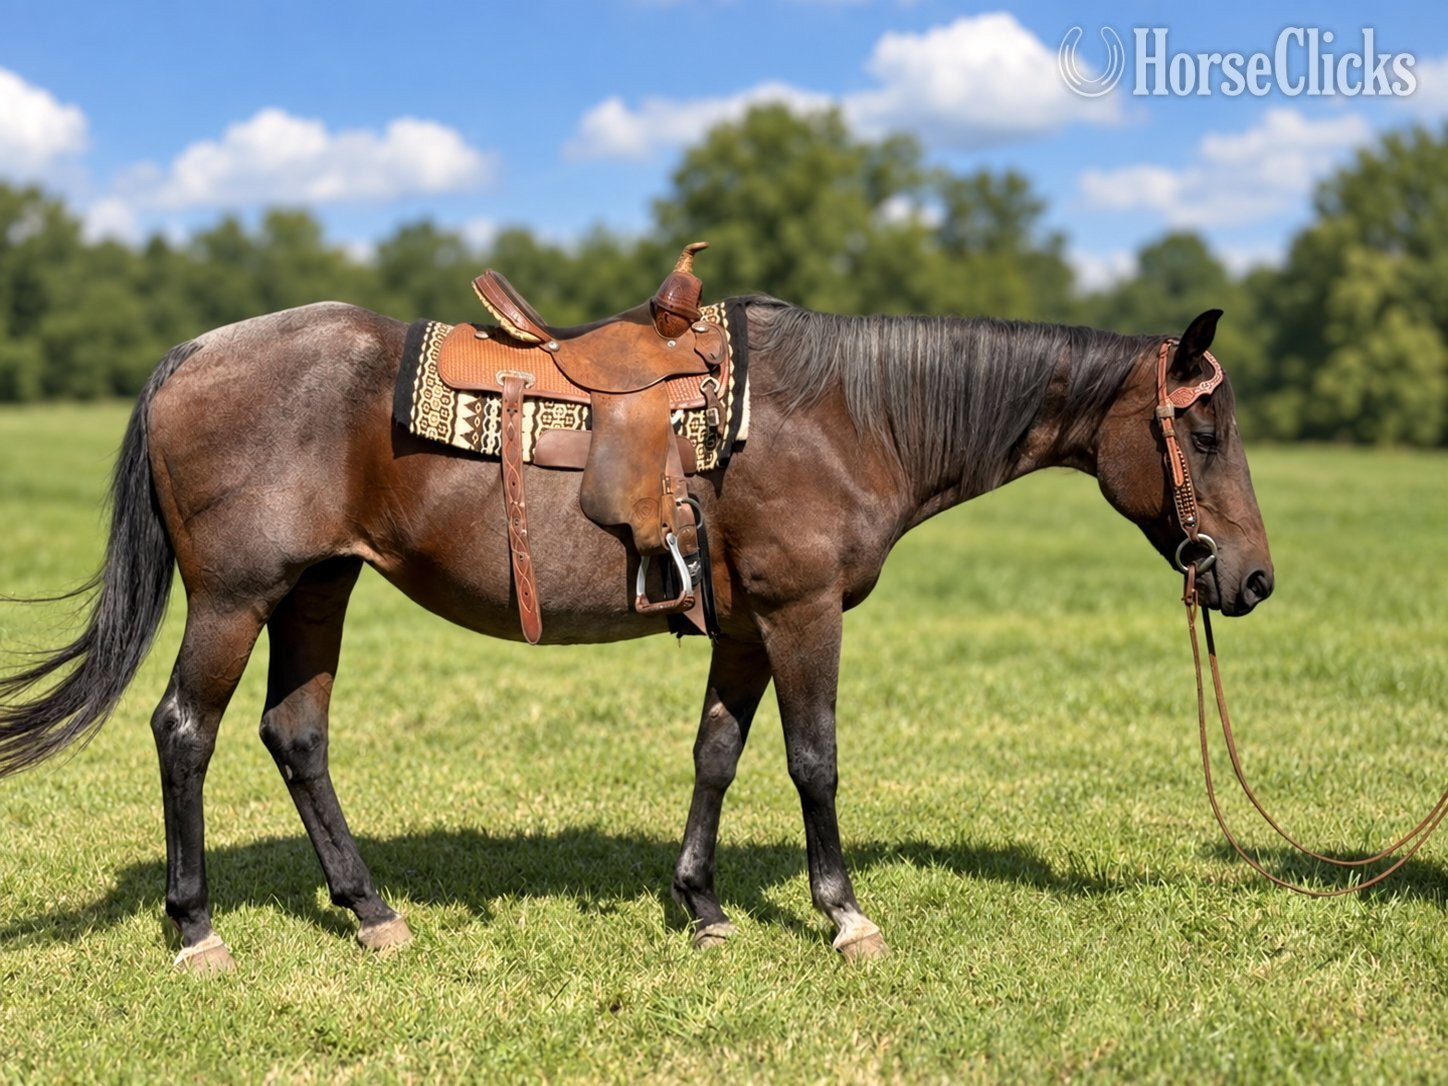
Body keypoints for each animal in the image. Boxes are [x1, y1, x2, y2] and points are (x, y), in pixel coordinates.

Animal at [0, 298, 1273, 971]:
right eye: (1203, 433)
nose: (1251, 578)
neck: (843, 418)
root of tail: (194, 353)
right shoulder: (801, 614)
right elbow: (813, 761)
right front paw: (844, 915)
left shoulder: (745, 626)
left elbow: (716, 754)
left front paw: (701, 906)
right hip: (235, 596)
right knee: (185, 732)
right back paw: (195, 929)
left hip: (318, 588)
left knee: (293, 735)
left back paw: (370, 913)